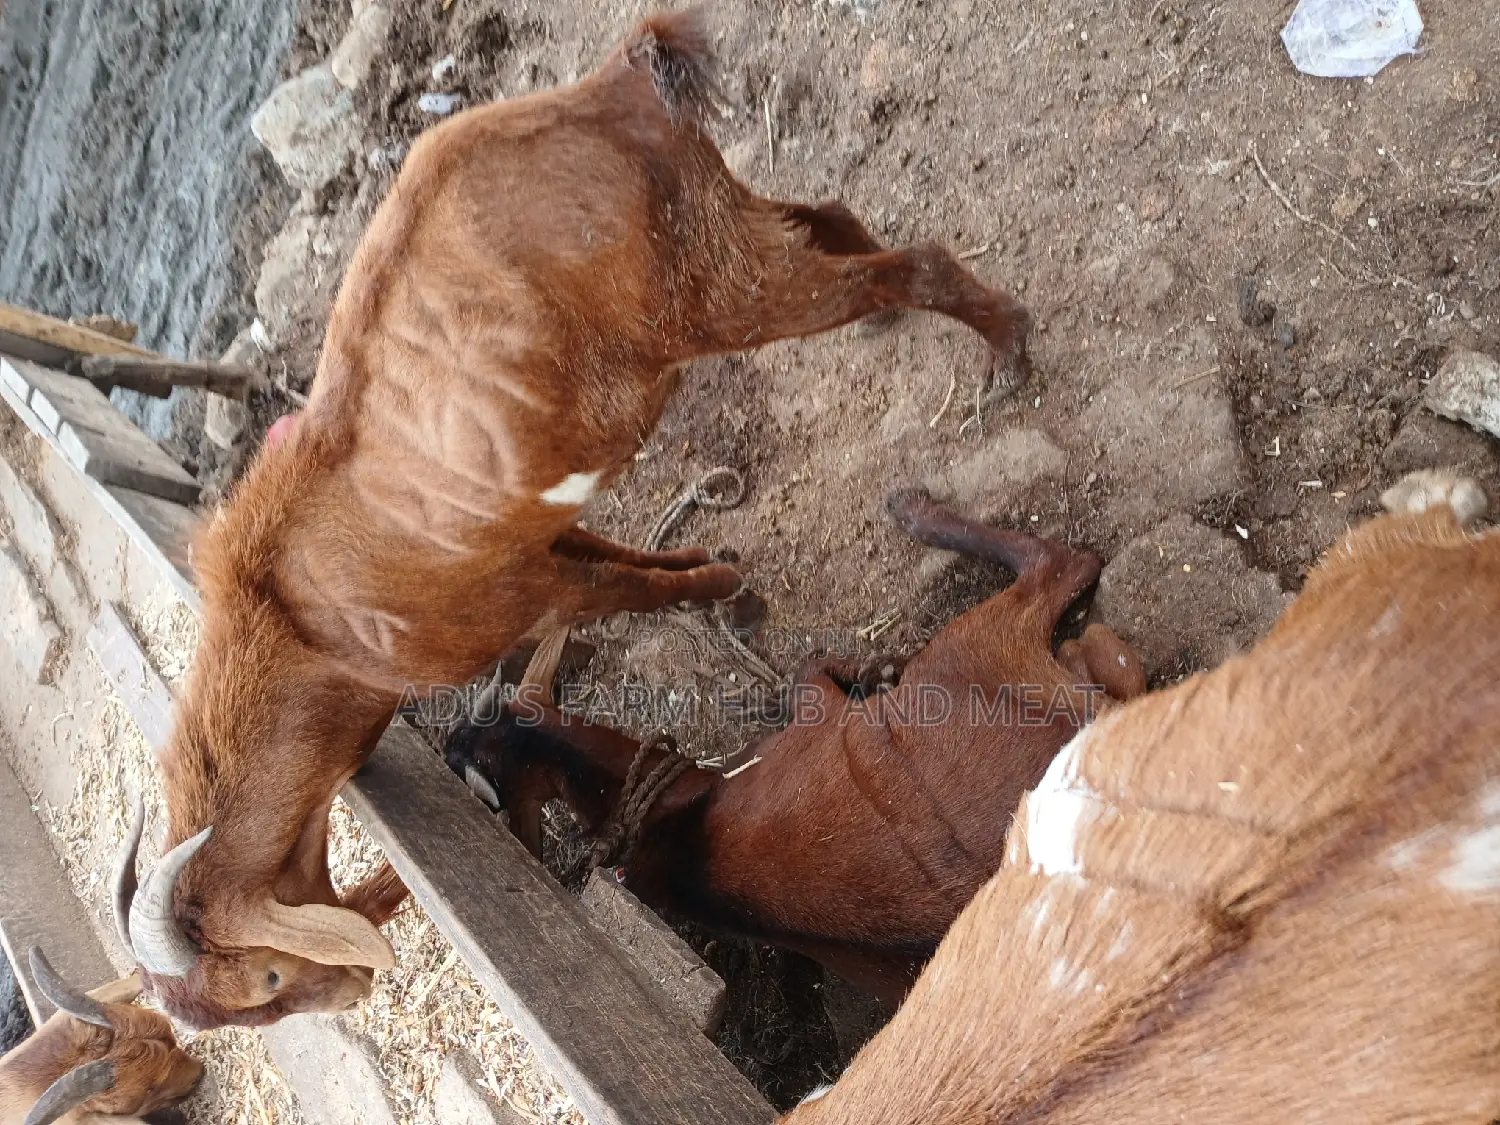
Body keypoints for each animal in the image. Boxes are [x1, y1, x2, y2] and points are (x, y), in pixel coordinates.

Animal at [132, 8, 1031, 1027]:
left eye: (267, 985)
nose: (357, 989)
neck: (302, 624)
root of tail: (609, 79)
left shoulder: (522, 595)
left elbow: (625, 588)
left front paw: (724, 584)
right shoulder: (538, 537)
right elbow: (621, 555)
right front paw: (712, 565)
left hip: (719, 288)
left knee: (905, 265)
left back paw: (1007, 348)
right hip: (723, 222)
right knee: (831, 216)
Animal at [444, 490, 1146, 1003]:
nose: (452, 738)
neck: (673, 817)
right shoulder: (827, 718)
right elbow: (811, 669)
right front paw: (868, 668)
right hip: (971, 650)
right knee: (1067, 568)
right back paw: (915, 511)